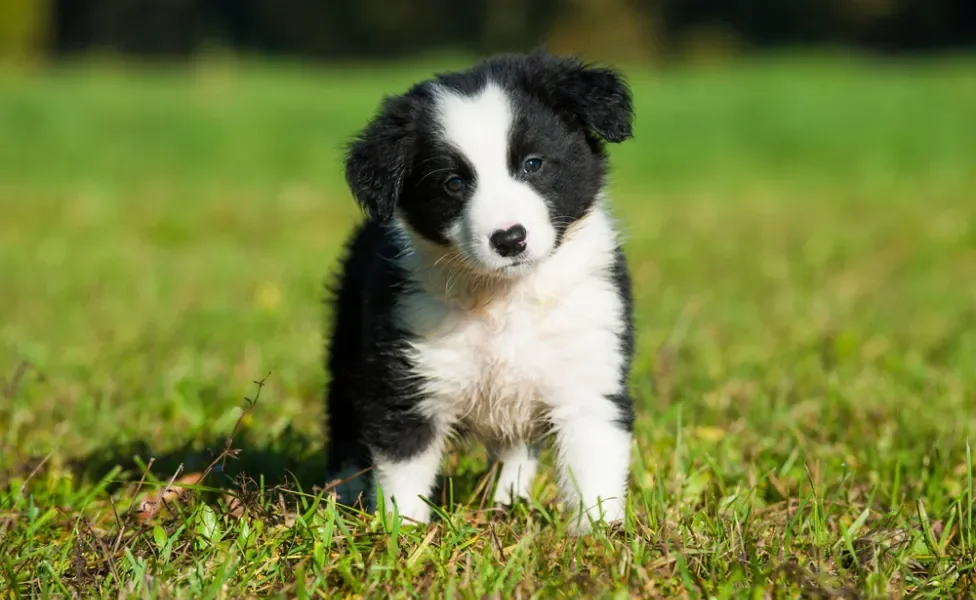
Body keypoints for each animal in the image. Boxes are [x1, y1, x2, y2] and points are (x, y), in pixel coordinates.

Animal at [324, 50, 636, 528]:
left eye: (533, 163)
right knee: (343, 419)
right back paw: (343, 494)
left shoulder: (589, 368)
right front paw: (402, 534)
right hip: (348, 346)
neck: (505, 297)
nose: (510, 239)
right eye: (453, 183)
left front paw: (600, 534)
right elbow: (403, 468)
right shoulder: (407, 378)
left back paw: (508, 502)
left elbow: (594, 464)